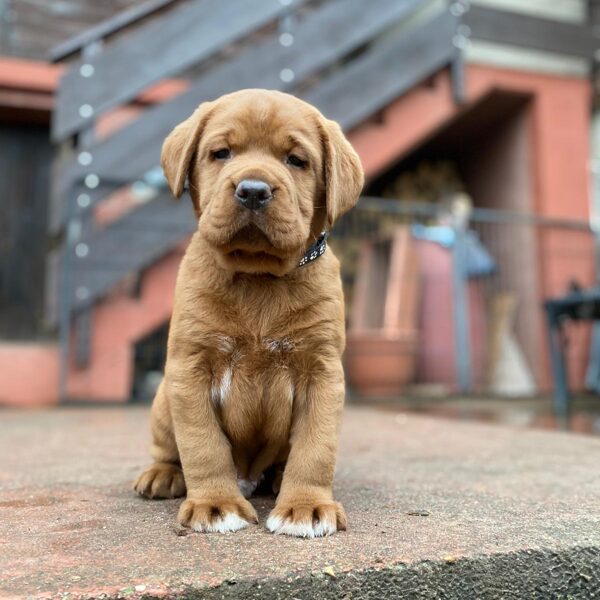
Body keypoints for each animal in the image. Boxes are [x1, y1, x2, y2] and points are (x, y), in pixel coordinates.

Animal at [134, 89, 364, 537]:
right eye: (221, 153)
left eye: (296, 160)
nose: (253, 190)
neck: (258, 277)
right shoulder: (190, 368)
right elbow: (203, 445)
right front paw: (216, 504)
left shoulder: (322, 370)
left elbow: (316, 447)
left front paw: (306, 506)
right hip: (162, 399)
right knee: (168, 448)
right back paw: (163, 474)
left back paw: (278, 478)